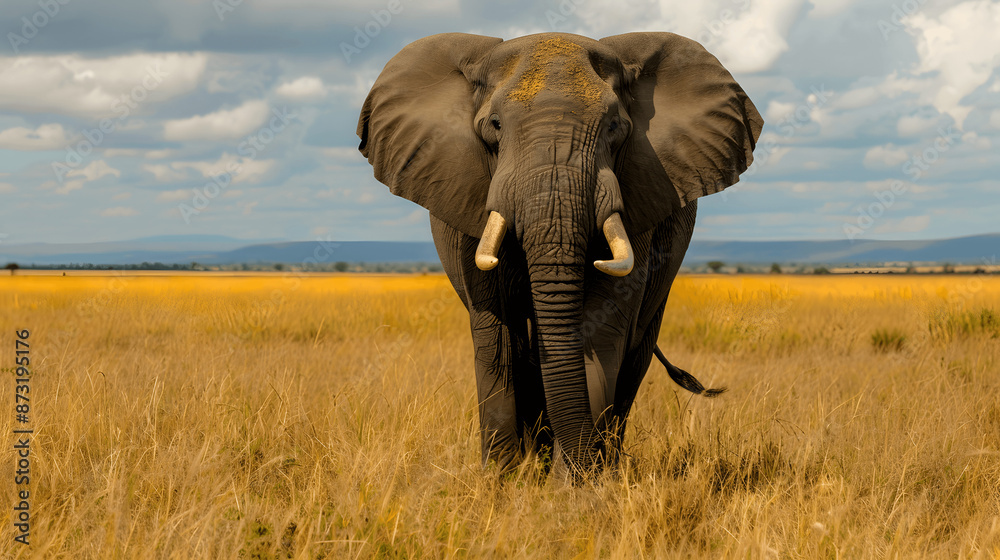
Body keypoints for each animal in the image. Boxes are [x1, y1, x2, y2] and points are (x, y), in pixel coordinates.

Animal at [357, 32, 763, 476]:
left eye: (614, 127)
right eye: (494, 126)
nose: (576, 466)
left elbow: (600, 326)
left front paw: (576, 483)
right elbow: (496, 334)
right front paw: (501, 481)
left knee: (634, 355)